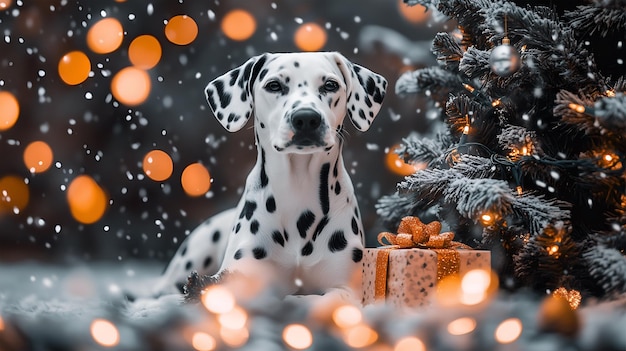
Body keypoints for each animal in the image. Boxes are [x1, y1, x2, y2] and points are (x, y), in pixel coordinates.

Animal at [151, 51, 386, 302]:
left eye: (330, 85)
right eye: (274, 85)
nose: (306, 118)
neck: (298, 188)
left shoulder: (348, 289)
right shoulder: (241, 274)